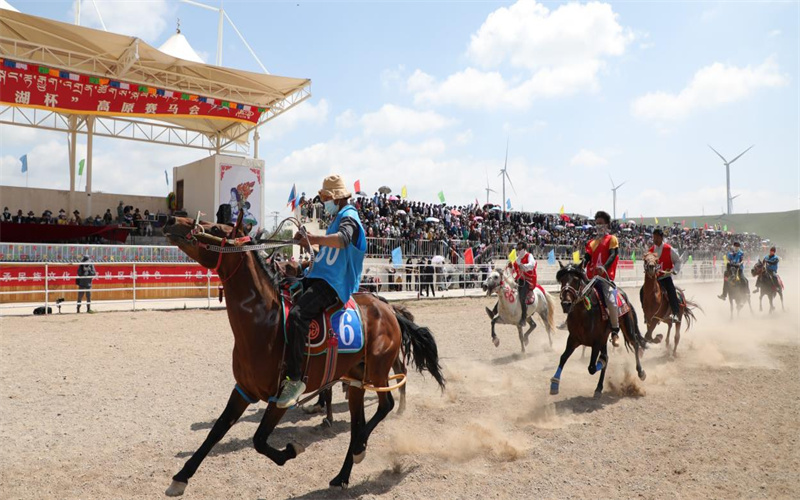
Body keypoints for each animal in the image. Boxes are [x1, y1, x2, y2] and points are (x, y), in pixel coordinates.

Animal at [159, 217, 446, 494]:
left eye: (217, 228)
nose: (173, 220)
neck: (267, 324)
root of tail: (387, 308)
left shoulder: (281, 397)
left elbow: (259, 440)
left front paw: (291, 450)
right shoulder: (243, 389)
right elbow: (217, 430)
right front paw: (181, 477)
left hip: (377, 371)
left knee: (386, 405)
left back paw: (360, 446)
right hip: (356, 380)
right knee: (357, 424)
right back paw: (343, 474)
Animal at [552, 262, 648, 398]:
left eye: (576, 280)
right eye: (562, 280)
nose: (566, 304)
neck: (584, 313)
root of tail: (623, 295)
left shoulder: (596, 342)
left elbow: (592, 367)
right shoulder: (573, 339)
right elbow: (563, 358)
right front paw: (554, 384)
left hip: (627, 327)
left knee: (635, 343)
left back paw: (641, 372)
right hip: (605, 338)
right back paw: (599, 387)